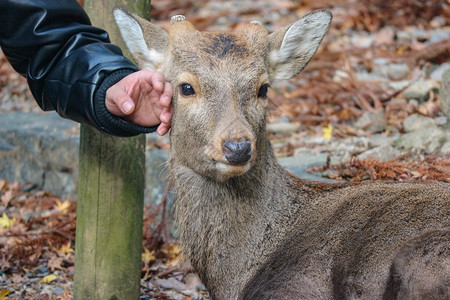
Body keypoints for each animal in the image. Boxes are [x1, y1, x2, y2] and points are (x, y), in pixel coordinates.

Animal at [113, 7, 450, 300]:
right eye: (185, 87)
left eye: (263, 88)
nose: (237, 147)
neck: (239, 274)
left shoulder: (295, 285)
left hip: (422, 259)